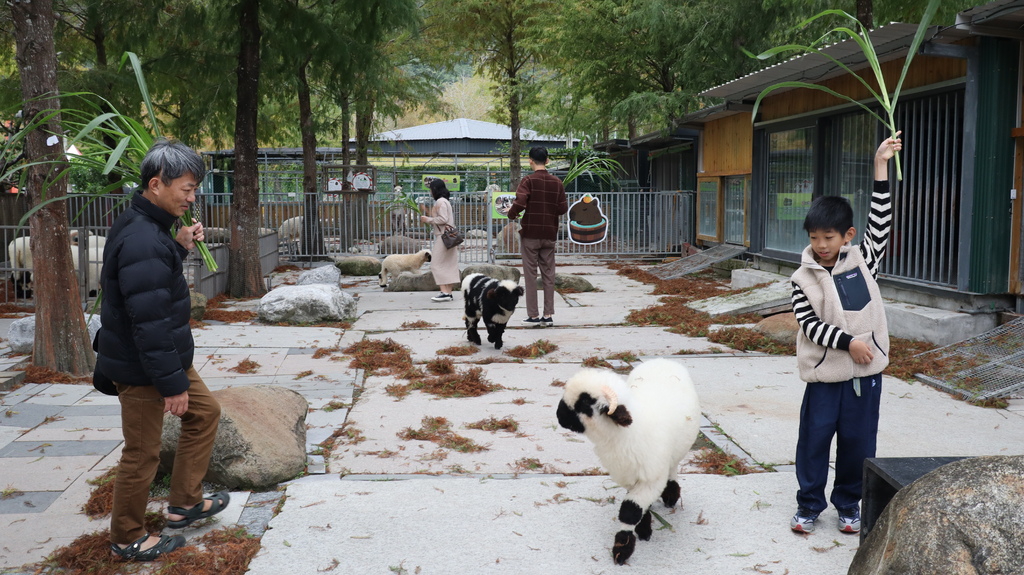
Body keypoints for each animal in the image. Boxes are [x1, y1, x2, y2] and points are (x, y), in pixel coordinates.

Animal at [557, 358, 700, 564]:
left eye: (585, 401)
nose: (559, 416)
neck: (625, 434)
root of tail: (662, 360)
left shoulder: (651, 477)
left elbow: (629, 511)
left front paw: (622, 550)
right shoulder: (628, 475)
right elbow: (638, 508)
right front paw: (643, 529)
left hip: (675, 454)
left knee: (673, 468)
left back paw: (671, 496)